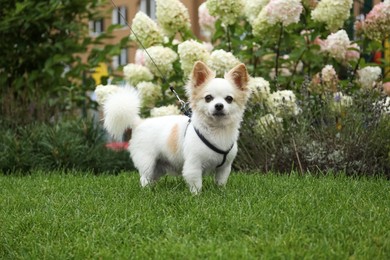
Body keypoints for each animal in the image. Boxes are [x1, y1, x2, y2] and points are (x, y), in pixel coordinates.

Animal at [103, 61, 250, 193]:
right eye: (208, 98)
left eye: (229, 99)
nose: (219, 105)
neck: (217, 130)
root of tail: (139, 123)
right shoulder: (193, 165)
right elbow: (196, 184)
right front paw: (197, 196)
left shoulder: (224, 168)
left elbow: (221, 182)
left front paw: (221, 192)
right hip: (147, 162)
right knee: (144, 178)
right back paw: (146, 192)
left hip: (158, 167)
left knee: (151, 179)